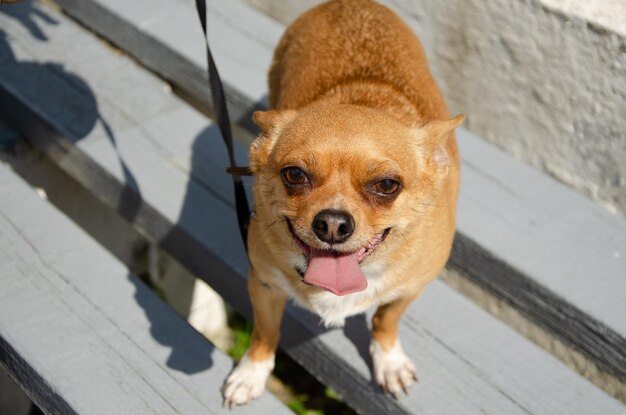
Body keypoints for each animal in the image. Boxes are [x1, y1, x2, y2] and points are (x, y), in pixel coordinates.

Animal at [222, 0, 460, 410]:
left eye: (387, 185)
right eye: (295, 174)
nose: (332, 223)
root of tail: (352, 3)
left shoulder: (410, 289)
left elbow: (385, 321)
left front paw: (389, 362)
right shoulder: (264, 286)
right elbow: (265, 334)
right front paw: (251, 372)